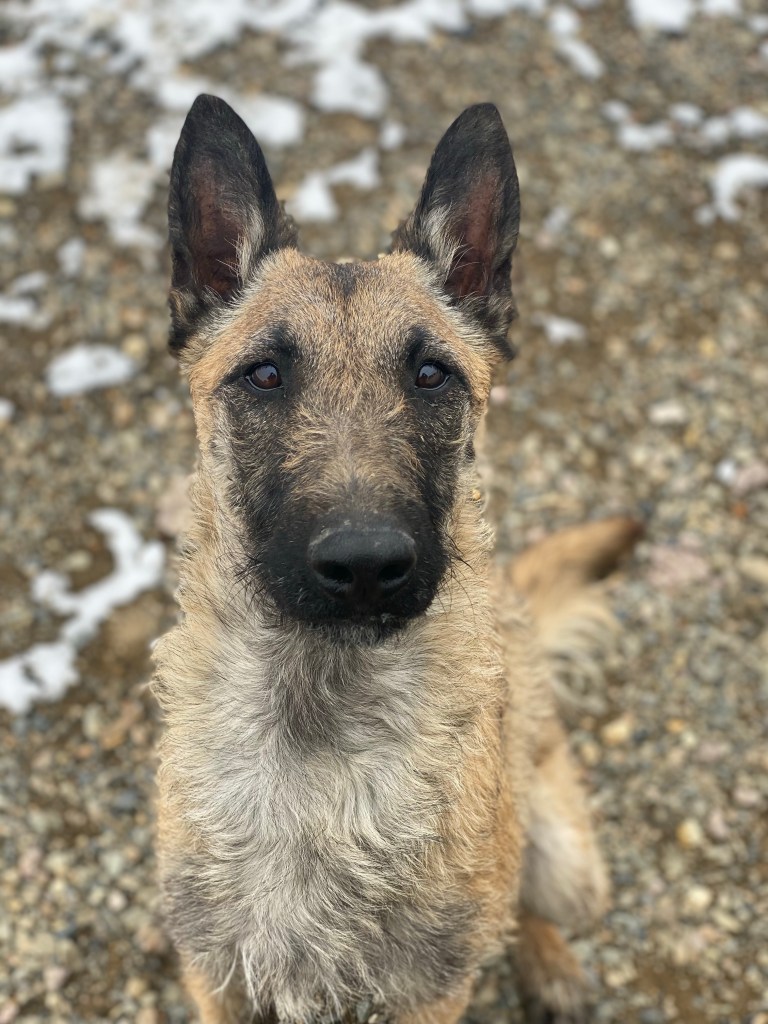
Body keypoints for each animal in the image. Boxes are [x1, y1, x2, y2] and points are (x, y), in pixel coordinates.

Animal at [153, 95, 640, 1024]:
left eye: (430, 374)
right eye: (264, 374)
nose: (366, 563)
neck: (320, 728)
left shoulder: (429, 991)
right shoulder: (215, 975)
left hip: (568, 868)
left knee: (525, 902)